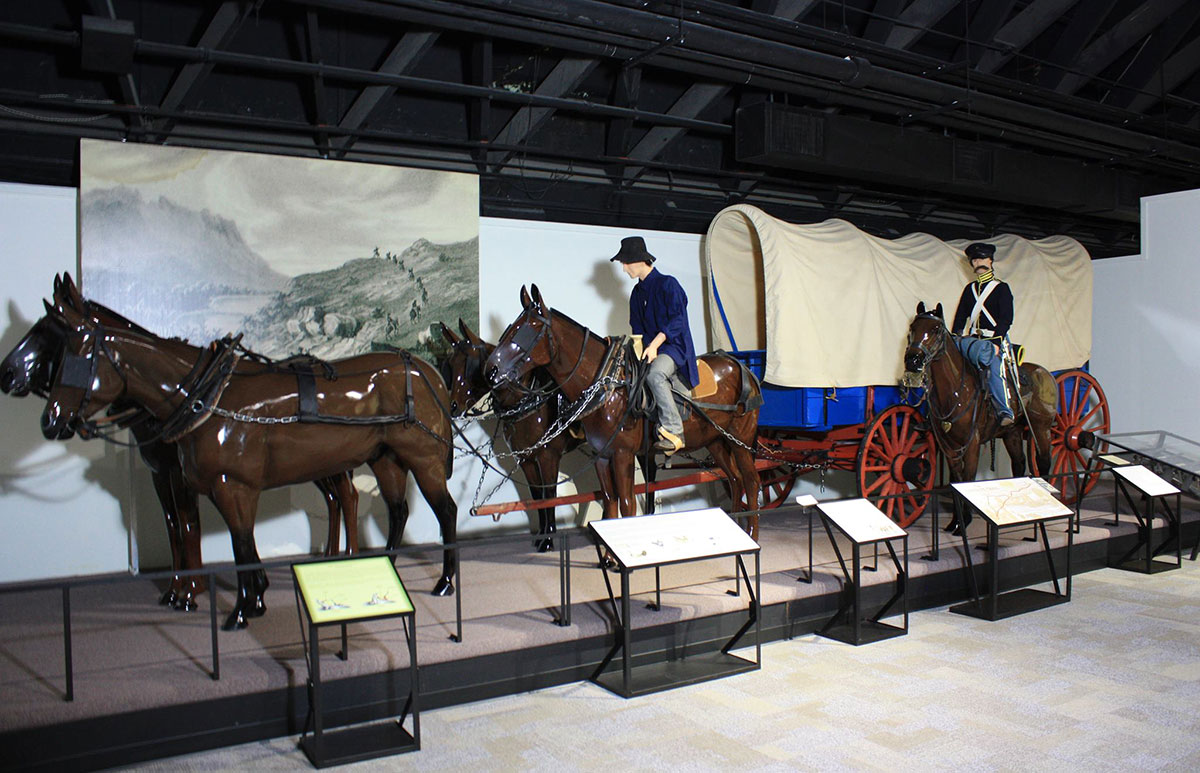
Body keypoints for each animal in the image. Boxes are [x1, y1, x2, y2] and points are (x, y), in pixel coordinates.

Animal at [1, 274, 355, 612]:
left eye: (51, 331)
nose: (7, 373)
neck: (189, 393)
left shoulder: (183, 475)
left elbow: (187, 526)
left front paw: (189, 592)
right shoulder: (161, 472)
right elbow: (173, 527)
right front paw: (177, 589)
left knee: (347, 496)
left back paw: (347, 557)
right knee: (334, 499)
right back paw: (330, 559)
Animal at [41, 279, 453, 628]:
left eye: (74, 358)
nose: (51, 420)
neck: (209, 398)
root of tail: (427, 372)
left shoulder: (232, 486)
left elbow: (237, 543)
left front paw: (239, 610)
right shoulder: (216, 486)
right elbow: (238, 543)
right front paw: (253, 601)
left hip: (424, 461)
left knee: (444, 511)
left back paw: (445, 581)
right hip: (386, 460)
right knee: (397, 511)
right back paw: (387, 568)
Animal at [441, 319, 580, 549]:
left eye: (470, 364)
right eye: (450, 365)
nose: (452, 407)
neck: (529, 402)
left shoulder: (547, 456)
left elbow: (549, 494)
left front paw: (548, 539)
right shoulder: (525, 458)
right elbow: (536, 495)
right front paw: (541, 536)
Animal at [484, 283, 758, 542]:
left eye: (527, 329)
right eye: (509, 327)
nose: (491, 370)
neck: (608, 386)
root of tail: (741, 365)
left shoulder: (620, 454)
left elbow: (626, 504)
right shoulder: (601, 456)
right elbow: (609, 501)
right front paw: (606, 557)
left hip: (741, 440)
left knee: (751, 480)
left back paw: (752, 533)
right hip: (716, 440)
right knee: (735, 480)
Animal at [902, 302, 1056, 530]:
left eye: (936, 329)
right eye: (912, 327)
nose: (913, 360)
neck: (956, 391)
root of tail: (1044, 373)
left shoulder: (972, 443)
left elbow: (967, 479)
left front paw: (964, 521)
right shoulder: (949, 446)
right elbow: (955, 480)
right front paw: (956, 522)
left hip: (1041, 428)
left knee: (1044, 461)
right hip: (1012, 433)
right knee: (1019, 462)